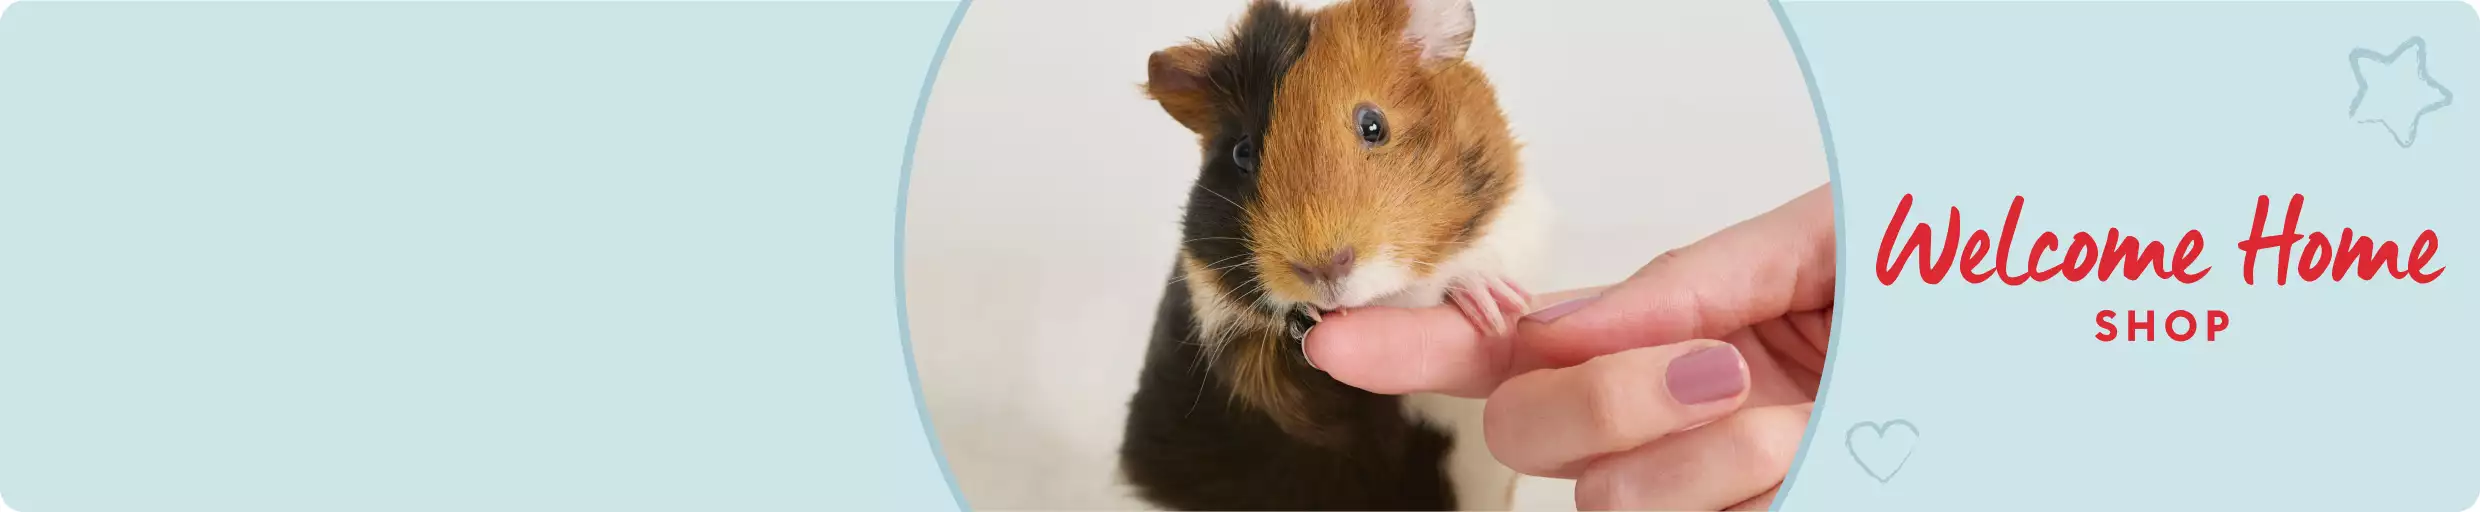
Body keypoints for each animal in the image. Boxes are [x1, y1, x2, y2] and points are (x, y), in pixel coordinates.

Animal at [1116, 0, 1545, 510]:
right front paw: (1305, 320)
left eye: (1373, 124)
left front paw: (1492, 304)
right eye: (1243, 152)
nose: (1322, 266)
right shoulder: (1235, 342)